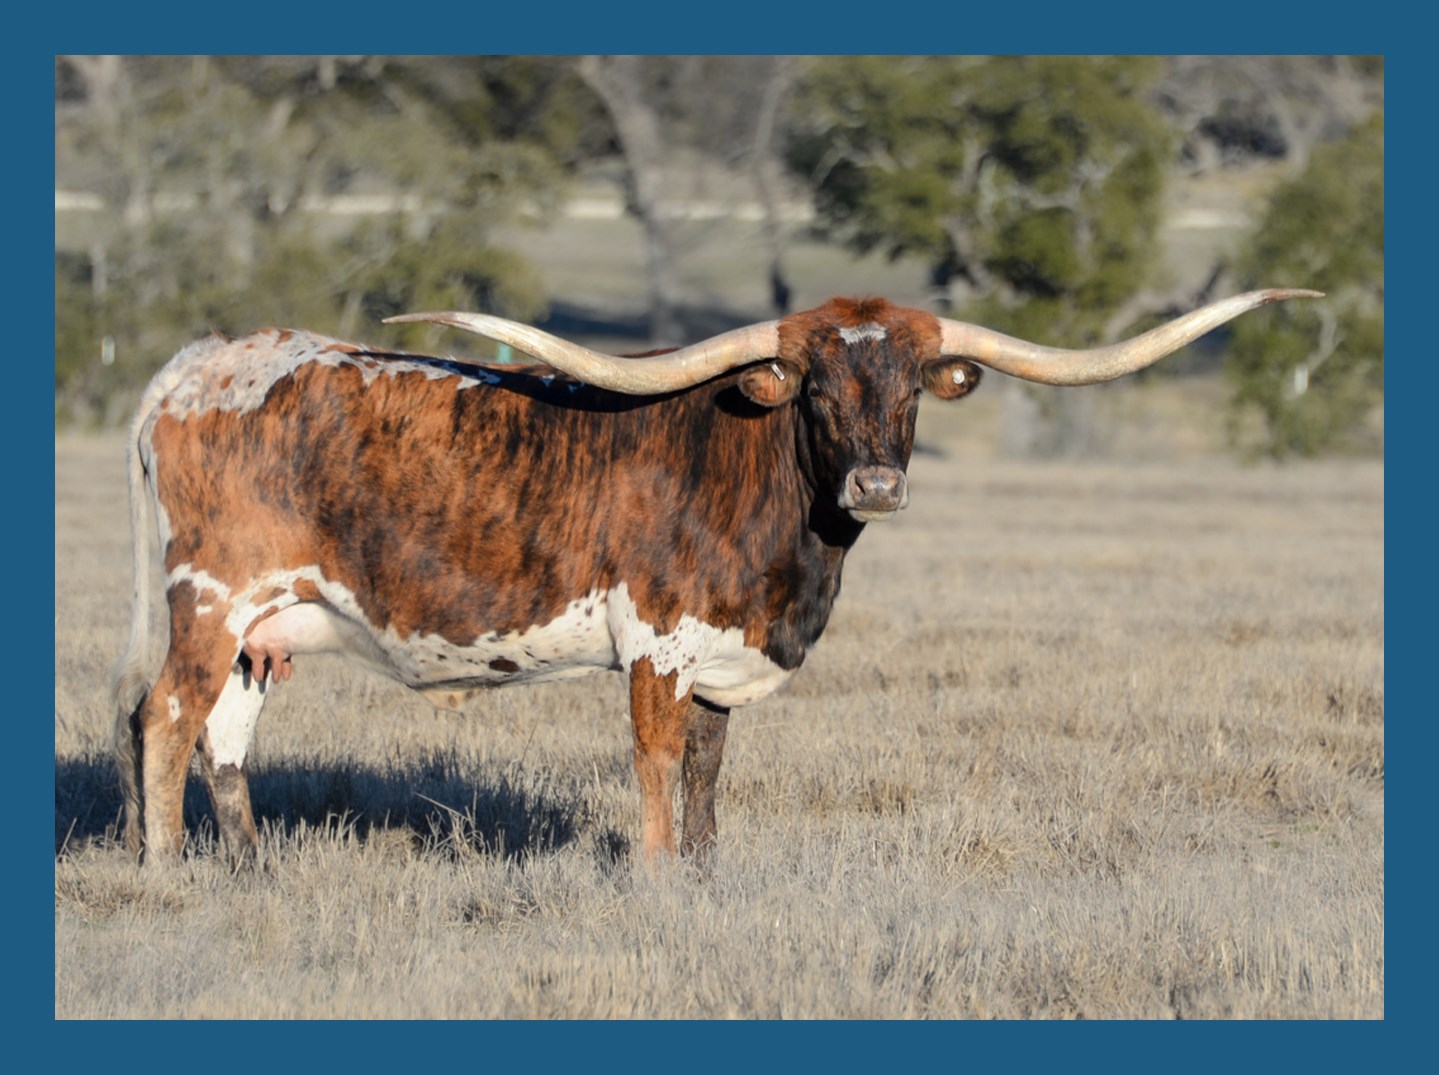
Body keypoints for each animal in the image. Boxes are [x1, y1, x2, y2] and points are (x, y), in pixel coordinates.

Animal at [112, 288, 1319, 868]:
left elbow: (705, 772)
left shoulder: (721, 663)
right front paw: (652, 881)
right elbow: (653, 767)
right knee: (164, 717)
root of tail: (193, 365)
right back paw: (168, 868)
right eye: (815, 386)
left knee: (220, 736)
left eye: (911, 387)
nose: (876, 483)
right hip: (209, 600)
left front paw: (697, 877)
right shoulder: (652, 645)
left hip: (265, 628)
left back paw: (250, 866)